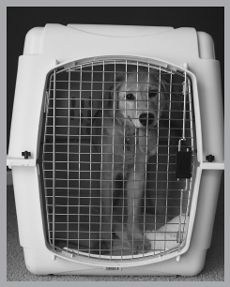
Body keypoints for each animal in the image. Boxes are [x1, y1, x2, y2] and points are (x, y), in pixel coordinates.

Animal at [92, 66, 168, 255]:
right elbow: (106, 211)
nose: (146, 118)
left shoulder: (137, 174)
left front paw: (136, 237)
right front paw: (104, 239)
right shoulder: (108, 176)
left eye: (153, 92)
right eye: (129, 96)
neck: (128, 137)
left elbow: (133, 212)